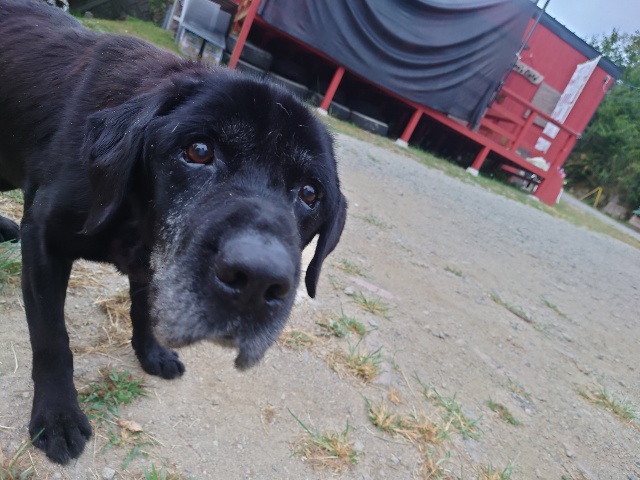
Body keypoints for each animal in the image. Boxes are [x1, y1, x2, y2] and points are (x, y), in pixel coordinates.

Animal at [0, 0, 347, 464]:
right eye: (198, 150)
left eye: (310, 193)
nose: (257, 281)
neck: (135, 215)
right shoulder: (43, 240)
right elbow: (52, 338)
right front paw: (58, 415)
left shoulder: (154, 261)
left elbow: (145, 310)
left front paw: (152, 354)